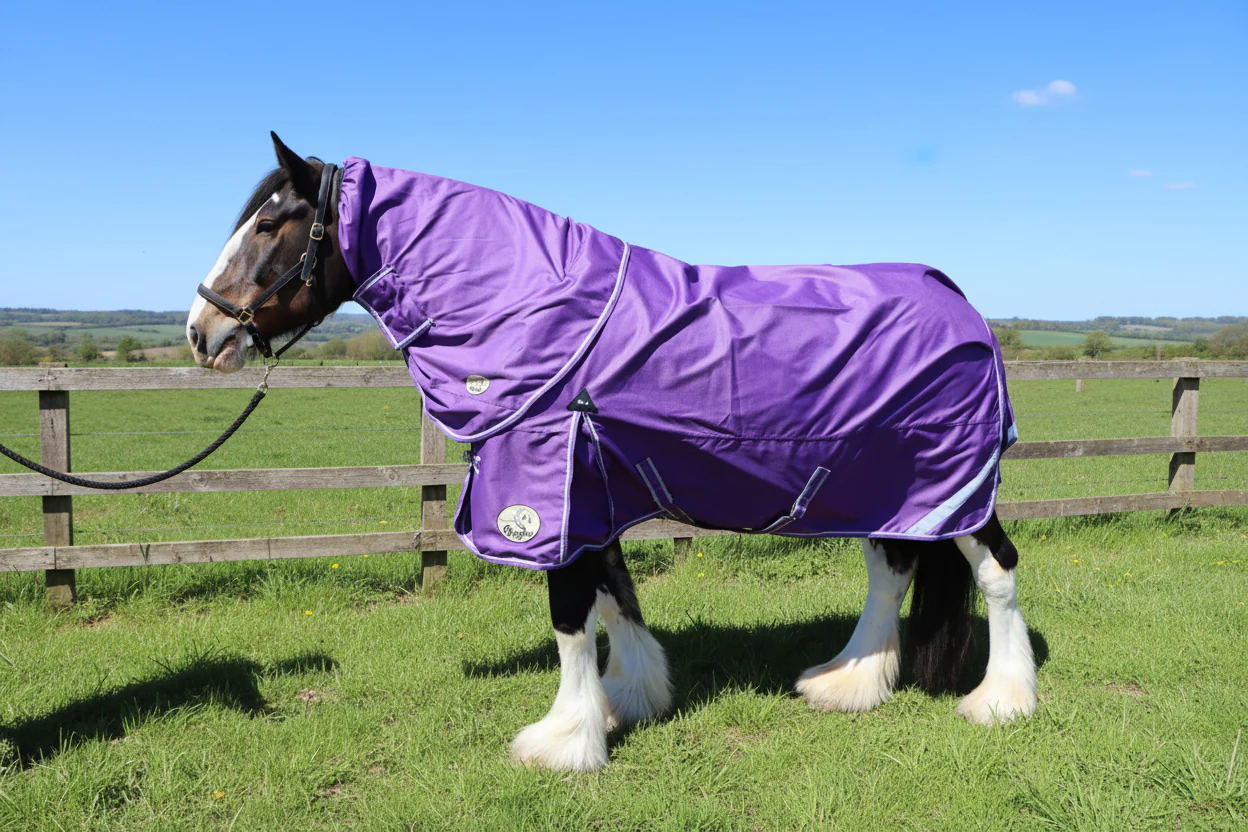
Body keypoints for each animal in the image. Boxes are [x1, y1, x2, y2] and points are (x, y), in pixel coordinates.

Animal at [186, 133, 1038, 772]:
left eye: (270, 225)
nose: (204, 331)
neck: (537, 310)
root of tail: (957, 299)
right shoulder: (588, 494)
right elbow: (613, 595)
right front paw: (630, 699)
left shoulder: (546, 491)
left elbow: (569, 614)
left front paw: (564, 741)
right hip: (882, 488)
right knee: (889, 571)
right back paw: (850, 682)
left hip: (954, 485)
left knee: (995, 569)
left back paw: (1002, 700)